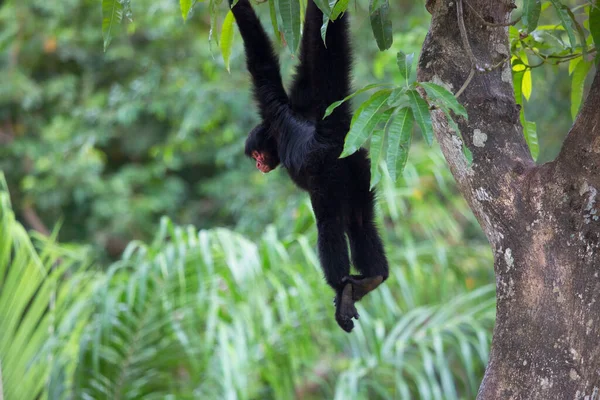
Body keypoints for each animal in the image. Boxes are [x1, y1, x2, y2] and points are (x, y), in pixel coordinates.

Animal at [230, 0, 390, 332]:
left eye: (257, 155)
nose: (259, 164)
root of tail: (328, 136)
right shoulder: (304, 101)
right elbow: (311, 56)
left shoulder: (274, 108)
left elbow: (261, 64)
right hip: (360, 169)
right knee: (360, 220)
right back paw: (373, 278)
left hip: (328, 174)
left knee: (329, 224)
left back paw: (342, 287)